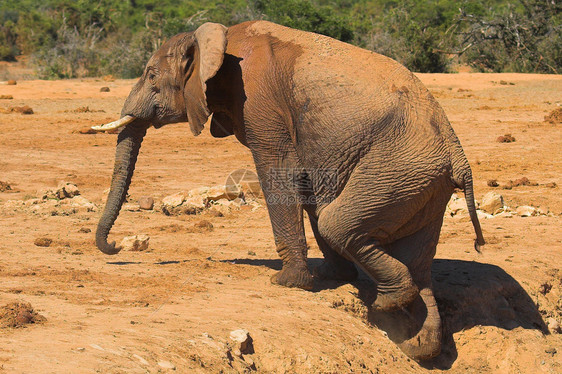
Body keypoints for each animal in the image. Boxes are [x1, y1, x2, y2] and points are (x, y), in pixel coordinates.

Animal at [92, 20, 482, 360]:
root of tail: (459, 158)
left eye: (151, 75)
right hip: (421, 184)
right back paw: (413, 341)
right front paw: (332, 278)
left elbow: (278, 171)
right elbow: (308, 187)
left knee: (337, 223)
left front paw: (285, 282)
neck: (219, 39)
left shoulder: (258, 101)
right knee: (415, 260)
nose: (115, 247)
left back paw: (385, 303)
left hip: (397, 168)